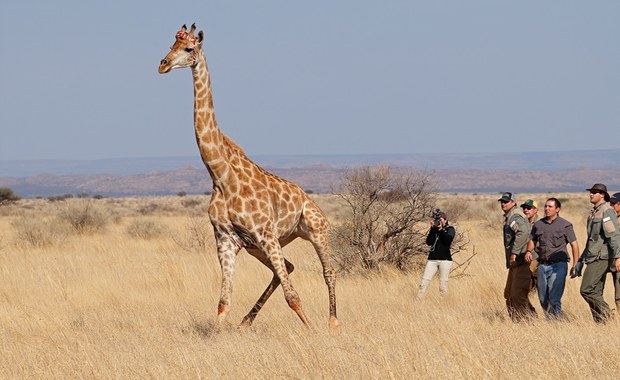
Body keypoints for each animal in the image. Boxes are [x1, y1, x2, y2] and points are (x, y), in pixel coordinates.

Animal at [157, 23, 336, 328]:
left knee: (328, 271)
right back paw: (246, 322)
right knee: (287, 267)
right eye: (171, 45)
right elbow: (223, 301)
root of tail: (307, 198)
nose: (163, 64)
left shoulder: (264, 234)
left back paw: (333, 322)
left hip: (314, 230)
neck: (220, 175)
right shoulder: (226, 240)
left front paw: (311, 330)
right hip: (264, 245)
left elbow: (293, 296)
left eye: (188, 48)